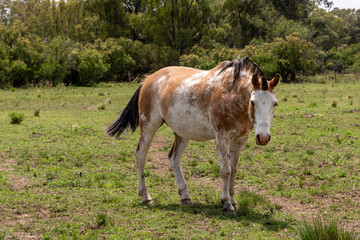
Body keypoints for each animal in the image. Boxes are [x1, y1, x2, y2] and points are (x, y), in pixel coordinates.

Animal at [105, 57, 280, 215]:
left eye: (275, 103)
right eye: (253, 102)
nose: (263, 137)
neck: (232, 94)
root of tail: (148, 80)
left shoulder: (240, 141)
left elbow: (234, 170)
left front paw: (233, 200)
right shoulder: (222, 138)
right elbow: (226, 170)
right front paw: (226, 204)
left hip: (182, 133)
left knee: (173, 158)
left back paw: (185, 196)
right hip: (149, 126)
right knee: (141, 155)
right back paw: (145, 196)